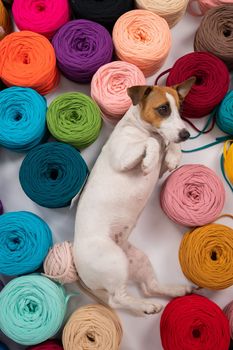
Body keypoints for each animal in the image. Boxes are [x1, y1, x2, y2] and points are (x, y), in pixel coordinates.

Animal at [73, 78, 196, 316]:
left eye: (180, 109)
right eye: (163, 109)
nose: (186, 134)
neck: (144, 130)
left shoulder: (161, 170)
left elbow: (168, 146)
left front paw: (174, 154)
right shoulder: (122, 158)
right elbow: (152, 144)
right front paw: (149, 161)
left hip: (136, 259)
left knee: (150, 287)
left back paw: (175, 291)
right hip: (115, 262)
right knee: (117, 299)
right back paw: (146, 307)